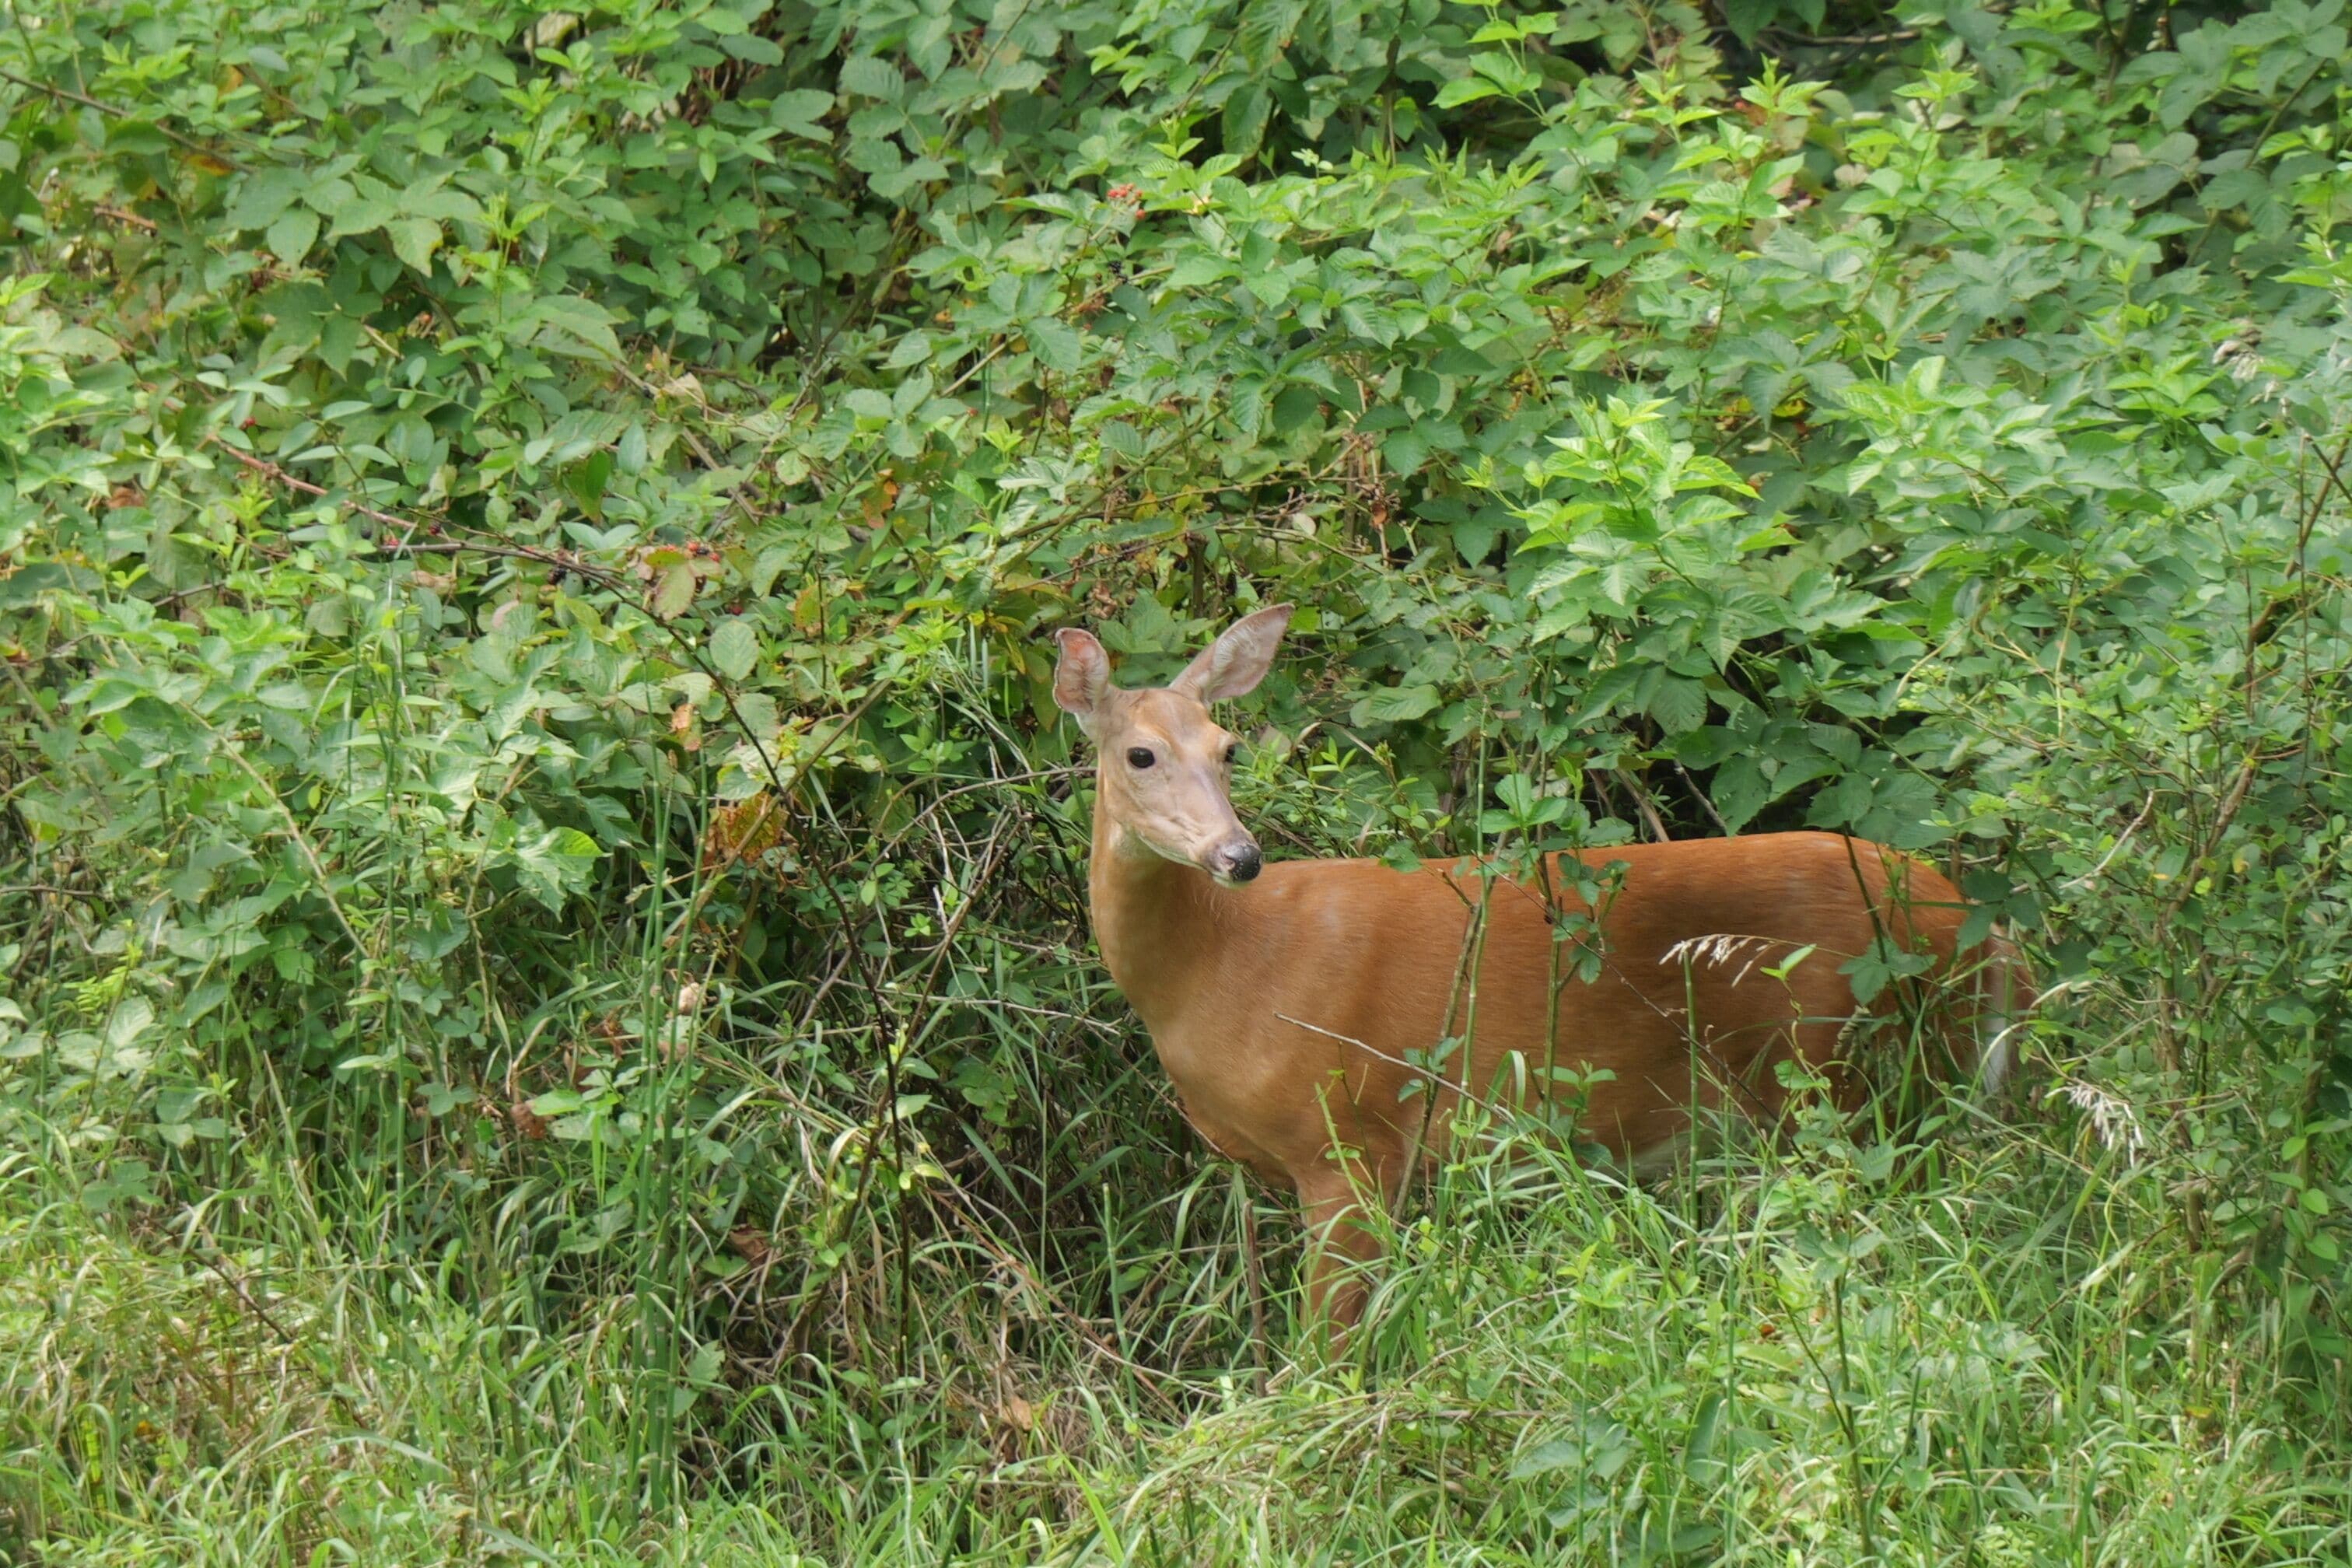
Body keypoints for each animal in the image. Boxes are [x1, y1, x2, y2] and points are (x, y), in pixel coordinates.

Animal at [1053, 603, 2028, 1332]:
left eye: (1228, 748)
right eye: (1140, 753)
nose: (1239, 856)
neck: (1227, 965)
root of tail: (1976, 925)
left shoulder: (1351, 1141)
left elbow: (1328, 1355)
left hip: (1853, 1072)